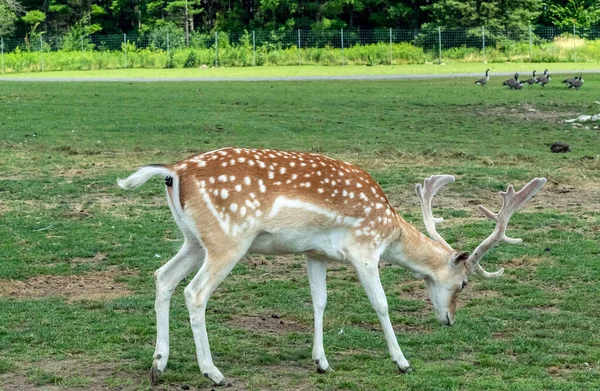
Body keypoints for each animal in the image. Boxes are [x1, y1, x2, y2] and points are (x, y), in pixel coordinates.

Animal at [116, 147, 544, 386]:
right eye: (465, 283)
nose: (450, 320)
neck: (390, 229)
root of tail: (173, 173)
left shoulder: (315, 253)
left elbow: (318, 303)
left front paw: (321, 363)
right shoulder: (364, 250)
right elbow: (381, 304)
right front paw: (403, 363)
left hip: (193, 239)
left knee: (163, 278)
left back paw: (158, 367)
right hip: (228, 239)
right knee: (194, 292)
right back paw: (214, 373)